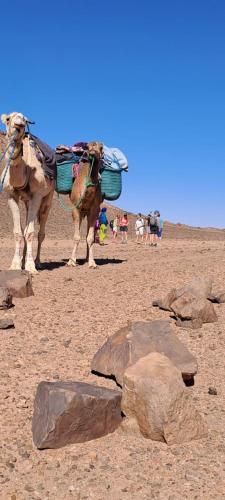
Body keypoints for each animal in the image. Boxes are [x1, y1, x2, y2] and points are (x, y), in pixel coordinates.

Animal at [0, 112, 55, 274]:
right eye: (8, 119)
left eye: (25, 120)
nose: (19, 125)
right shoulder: (11, 196)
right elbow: (19, 233)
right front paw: (15, 264)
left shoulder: (37, 196)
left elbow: (30, 233)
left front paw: (30, 266)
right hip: (26, 201)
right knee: (25, 228)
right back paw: (23, 261)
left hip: (48, 197)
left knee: (41, 232)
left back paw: (38, 262)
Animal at [66, 142, 102, 270]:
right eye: (88, 147)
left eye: (102, 148)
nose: (92, 153)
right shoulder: (76, 208)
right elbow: (76, 237)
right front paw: (71, 261)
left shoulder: (95, 210)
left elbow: (90, 237)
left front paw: (92, 263)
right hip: (81, 212)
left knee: (88, 234)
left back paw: (87, 259)